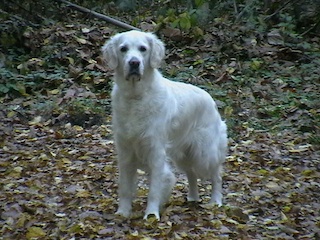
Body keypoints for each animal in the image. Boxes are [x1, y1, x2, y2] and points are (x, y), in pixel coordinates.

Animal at [102, 29, 228, 219]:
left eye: (143, 49)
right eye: (123, 49)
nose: (134, 63)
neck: (135, 97)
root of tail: (210, 99)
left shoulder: (155, 151)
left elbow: (154, 189)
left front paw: (151, 215)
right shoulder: (125, 151)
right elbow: (124, 187)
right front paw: (122, 212)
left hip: (204, 153)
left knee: (216, 175)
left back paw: (216, 201)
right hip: (183, 155)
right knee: (191, 174)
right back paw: (192, 198)